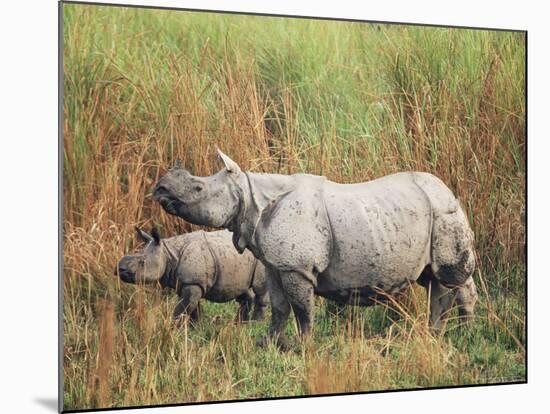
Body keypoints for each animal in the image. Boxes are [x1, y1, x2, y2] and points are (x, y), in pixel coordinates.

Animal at [116, 226, 270, 324]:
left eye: (142, 262)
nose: (119, 269)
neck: (167, 253)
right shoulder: (186, 283)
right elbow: (192, 308)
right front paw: (196, 328)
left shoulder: (193, 282)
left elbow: (182, 309)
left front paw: (172, 328)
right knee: (242, 289)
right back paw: (239, 324)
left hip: (260, 255)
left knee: (259, 290)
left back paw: (256, 324)